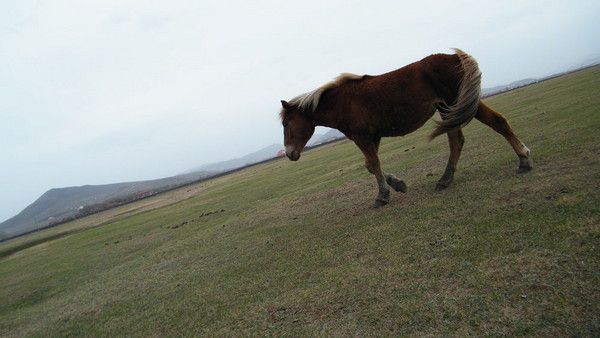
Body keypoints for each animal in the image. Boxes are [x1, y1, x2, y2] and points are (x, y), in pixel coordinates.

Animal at [278, 47, 532, 206]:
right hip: (460, 106)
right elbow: (371, 165)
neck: (342, 101)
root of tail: (454, 58)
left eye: (287, 123)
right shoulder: (373, 137)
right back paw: (522, 160)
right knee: (494, 124)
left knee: (460, 140)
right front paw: (397, 184)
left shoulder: (363, 137)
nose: (289, 153)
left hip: (452, 106)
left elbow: (374, 165)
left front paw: (382, 196)